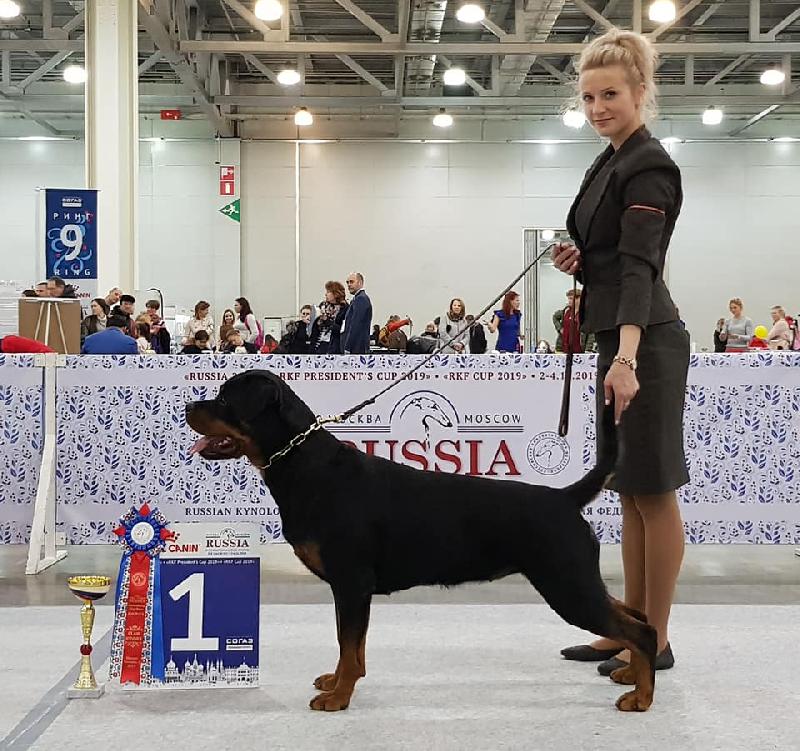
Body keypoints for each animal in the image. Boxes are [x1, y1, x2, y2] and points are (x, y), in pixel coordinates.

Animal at [186, 370, 657, 712]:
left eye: (226, 400)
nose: (189, 405)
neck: (305, 466)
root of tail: (563, 497)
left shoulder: (351, 583)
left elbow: (348, 645)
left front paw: (338, 697)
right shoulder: (348, 588)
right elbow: (348, 644)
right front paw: (337, 683)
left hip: (567, 585)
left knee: (641, 629)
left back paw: (641, 697)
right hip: (576, 582)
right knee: (637, 617)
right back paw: (631, 676)